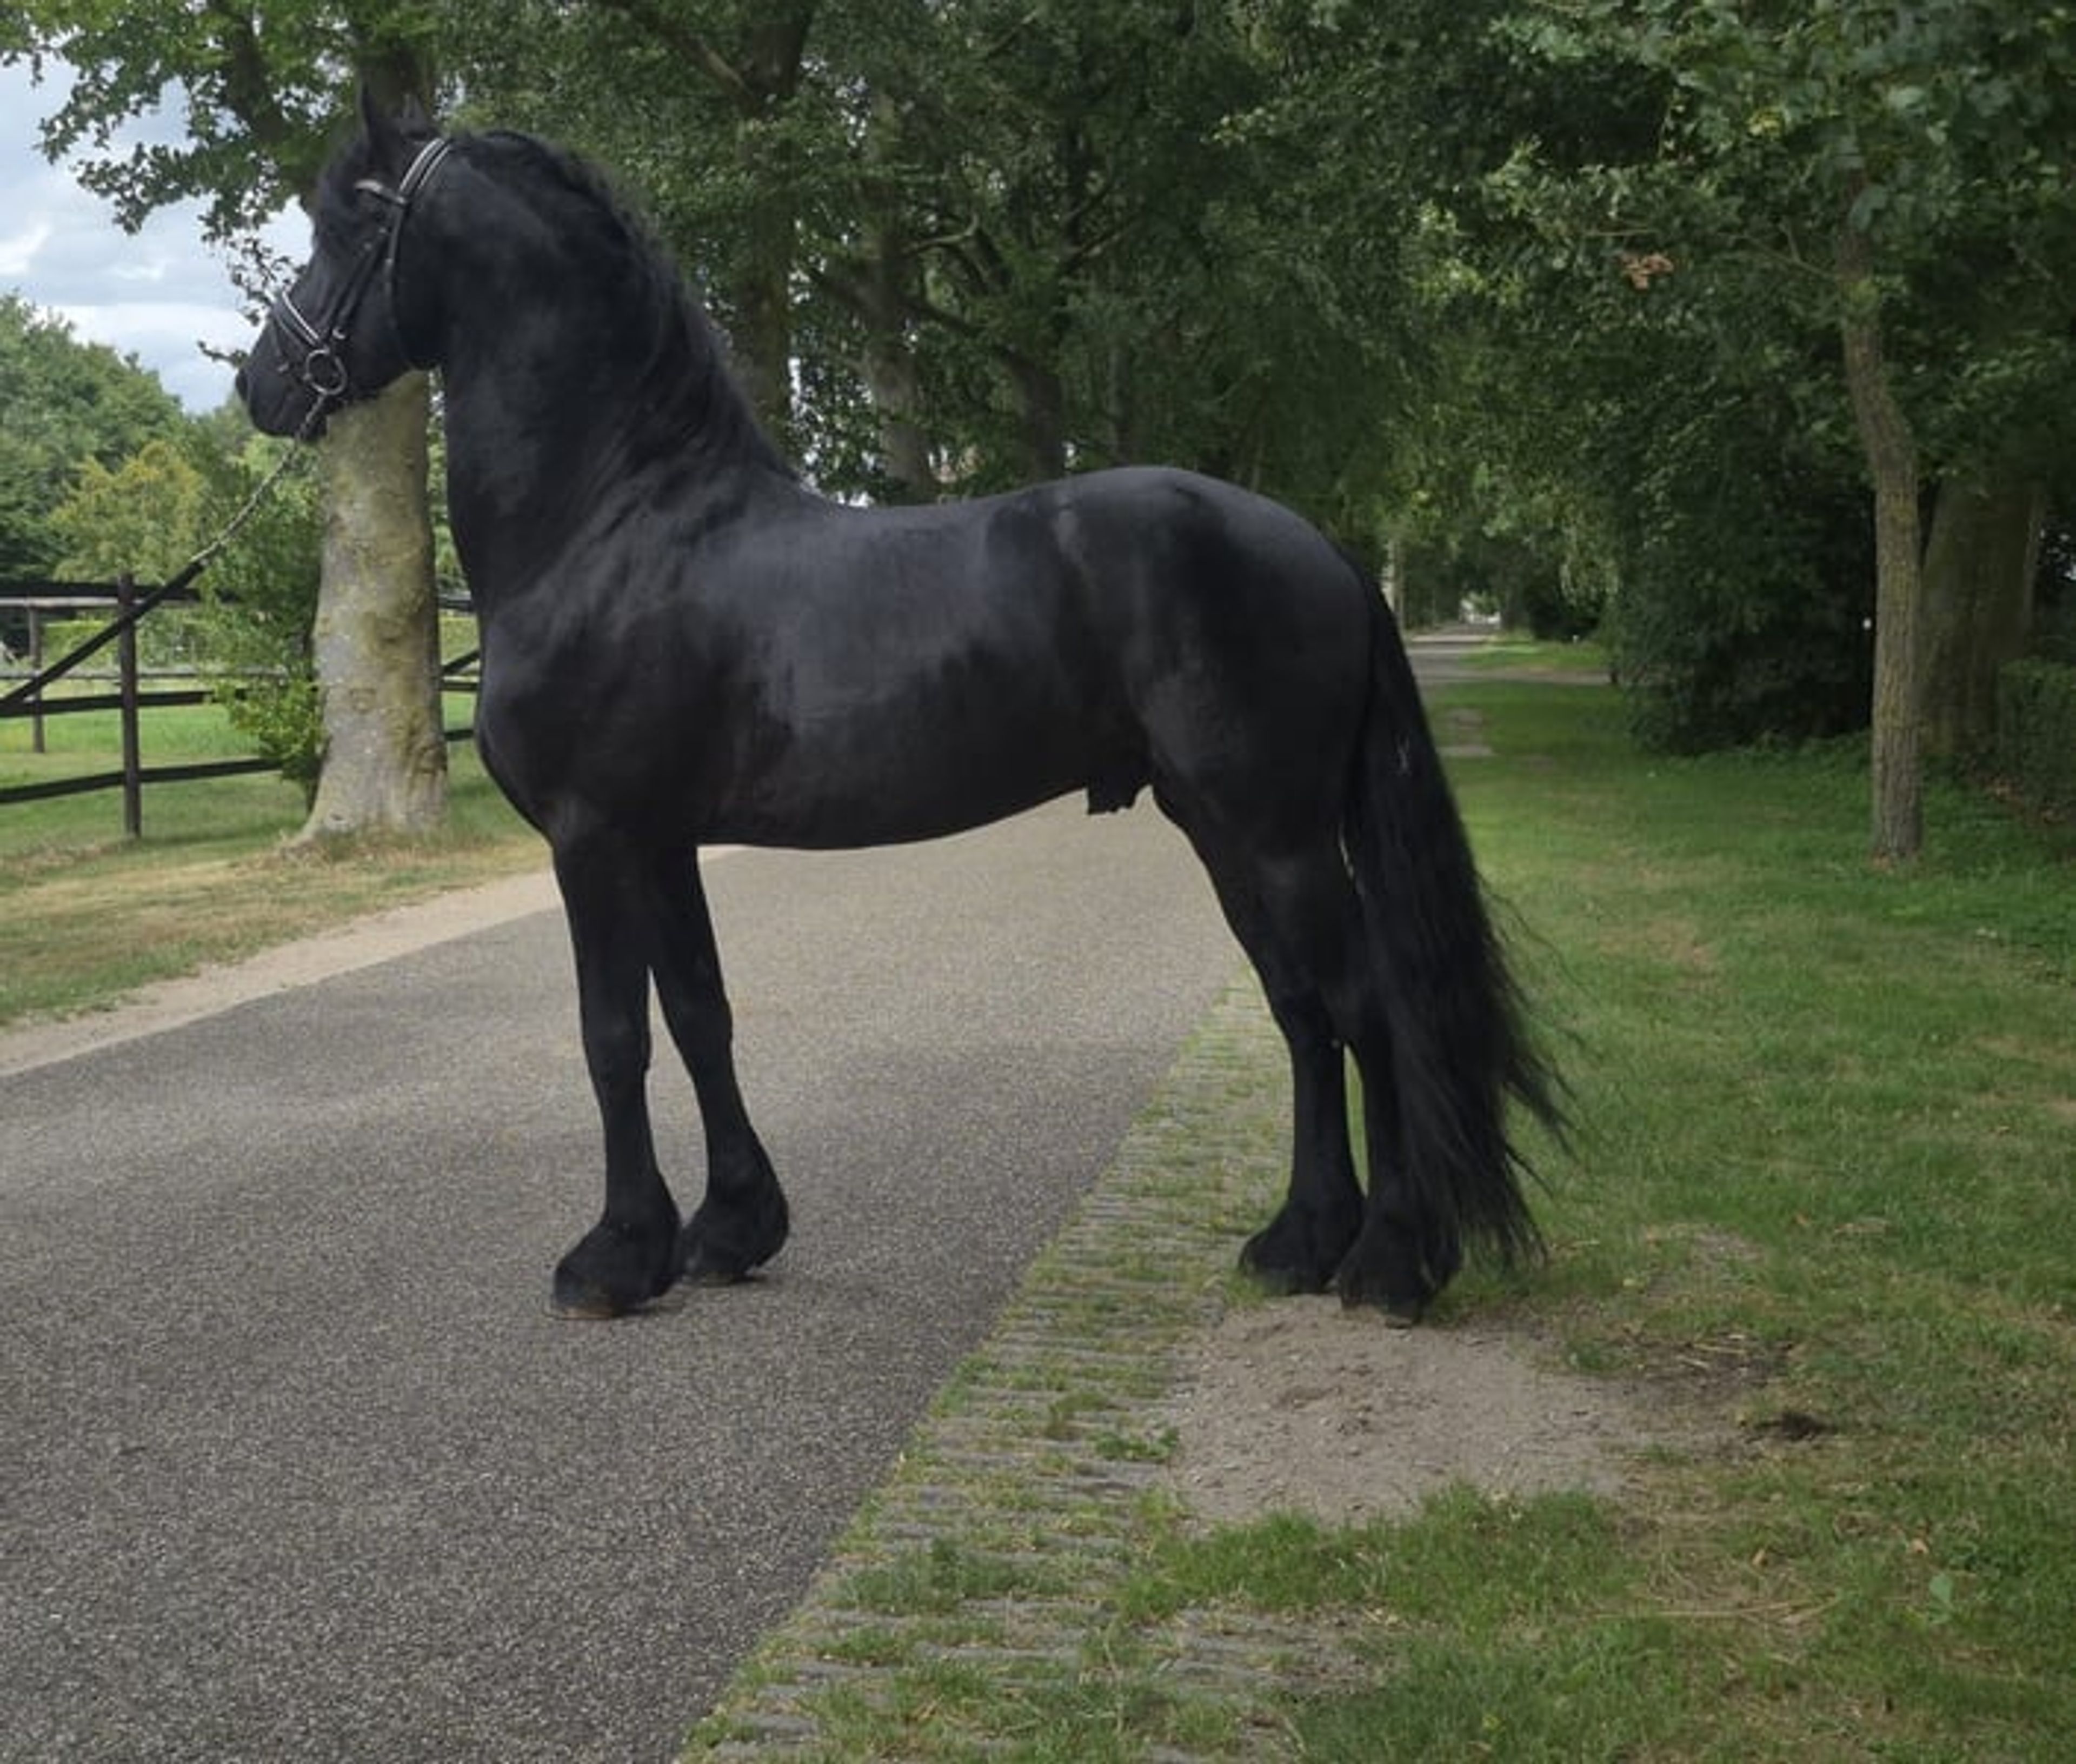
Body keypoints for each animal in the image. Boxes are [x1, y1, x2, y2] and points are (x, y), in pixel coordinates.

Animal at [239, 90, 1562, 1326]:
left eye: (343, 222)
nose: (262, 384)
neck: (613, 520)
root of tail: (1325, 551)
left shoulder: (593, 834)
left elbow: (613, 1036)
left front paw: (614, 1258)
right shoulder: (660, 838)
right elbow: (701, 1013)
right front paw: (732, 1229)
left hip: (1276, 833)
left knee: (1363, 1005)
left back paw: (1391, 1261)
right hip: (1226, 829)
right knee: (1300, 1010)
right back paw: (1298, 1241)